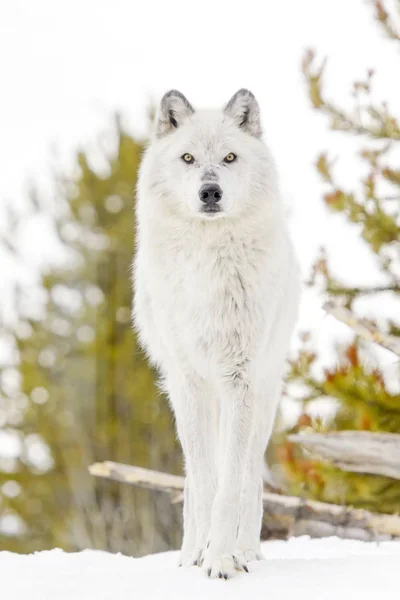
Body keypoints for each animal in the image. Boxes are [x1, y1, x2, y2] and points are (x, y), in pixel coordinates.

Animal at [133, 88, 302, 576]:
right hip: (190, 396)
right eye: (188, 158)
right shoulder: (189, 381)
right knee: (193, 478)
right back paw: (191, 549)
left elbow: (230, 486)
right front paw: (199, 556)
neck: (209, 265)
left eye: (229, 157)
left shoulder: (239, 380)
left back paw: (247, 552)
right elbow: (205, 482)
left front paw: (224, 560)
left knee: (248, 478)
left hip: (261, 399)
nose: (210, 192)